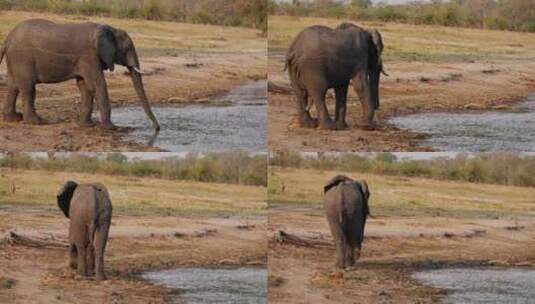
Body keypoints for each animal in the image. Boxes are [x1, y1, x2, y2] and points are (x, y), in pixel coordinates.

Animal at [0, 17, 159, 129]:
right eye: (127, 48)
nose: (157, 128)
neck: (109, 29)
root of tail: (8, 38)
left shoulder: (85, 59)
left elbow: (85, 87)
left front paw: (86, 126)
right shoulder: (89, 56)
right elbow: (98, 85)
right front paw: (111, 128)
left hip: (14, 59)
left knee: (13, 86)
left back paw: (14, 119)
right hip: (22, 58)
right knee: (28, 88)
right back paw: (36, 122)